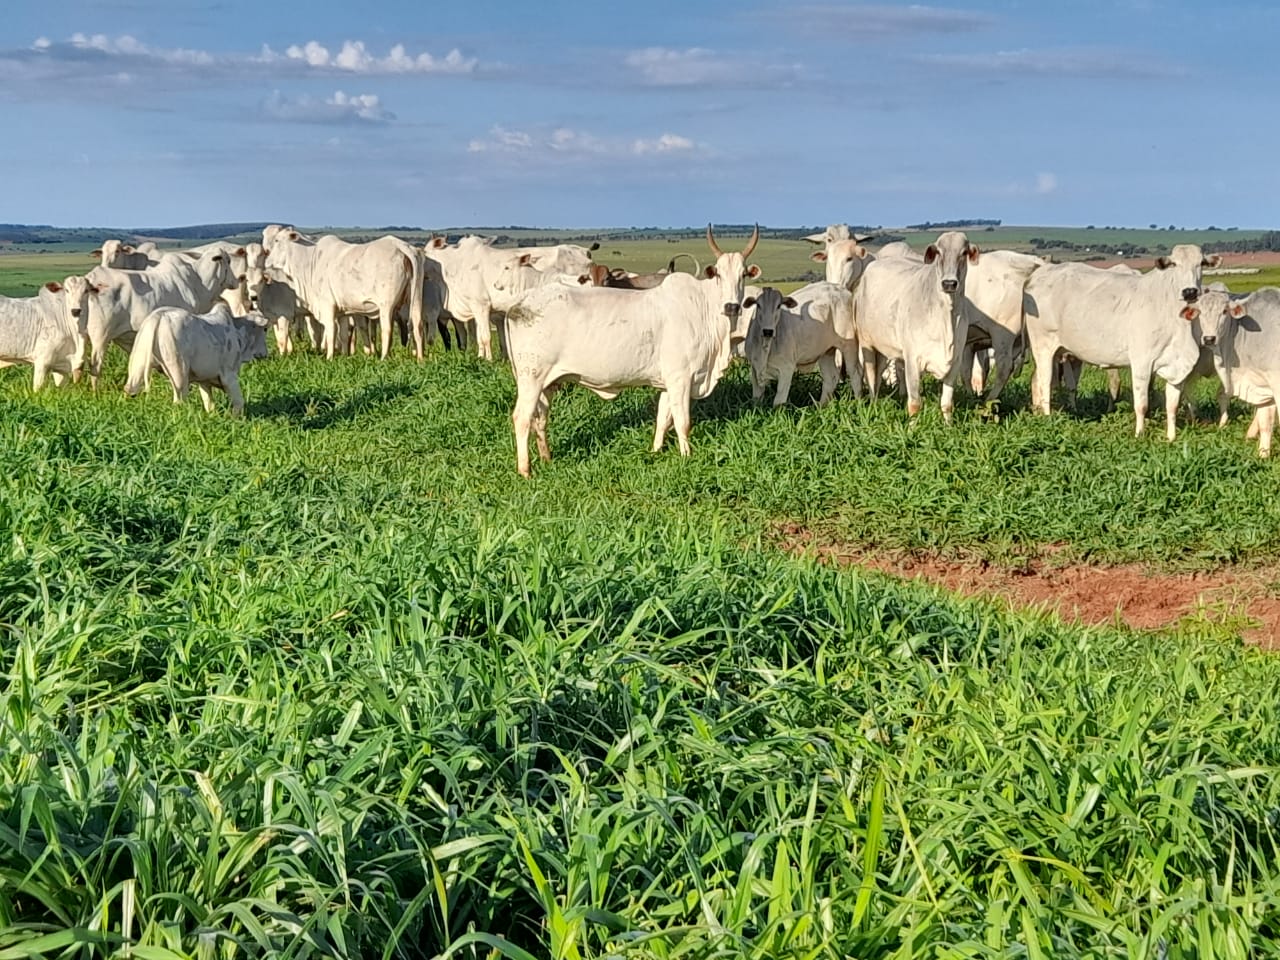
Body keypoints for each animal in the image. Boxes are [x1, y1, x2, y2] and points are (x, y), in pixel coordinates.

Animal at [124, 305, 270, 414]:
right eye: (265, 329)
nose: (265, 354)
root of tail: (158, 317)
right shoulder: (229, 376)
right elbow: (239, 402)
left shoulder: (204, 380)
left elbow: (209, 404)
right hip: (179, 372)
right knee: (179, 400)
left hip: (138, 362)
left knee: (129, 389)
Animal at [501, 226, 757, 481]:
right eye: (719, 275)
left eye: (743, 275)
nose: (732, 306)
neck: (705, 309)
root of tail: (519, 303)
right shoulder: (680, 378)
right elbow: (682, 421)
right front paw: (687, 456)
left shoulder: (668, 382)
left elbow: (663, 419)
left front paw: (655, 451)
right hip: (531, 377)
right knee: (522, 417)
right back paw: (525, 470)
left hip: (548, 382)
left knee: (540, 417)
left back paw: (547, 458)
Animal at [849, 231, 977, 419]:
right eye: (939, 252)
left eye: (964, 252)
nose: (949, 283)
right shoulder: (912, 361)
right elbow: (915, 404)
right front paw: (912, 426)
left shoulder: (955, 362)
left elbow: (947, 404)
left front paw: (948, 424)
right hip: (867, 344)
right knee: (871, 378)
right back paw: (872, 407)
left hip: (884, 348)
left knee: (879, 376)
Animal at [1018, 244, 1218, 440]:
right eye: (1174, 264)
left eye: (1201, 263)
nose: (1190, 291)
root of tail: (1038, 275)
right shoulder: (1141, 363)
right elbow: (1141, 404)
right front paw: (1139, 435)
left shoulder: (1177, 366)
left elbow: (1172, 405)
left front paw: (1171, 438)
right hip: (1042, 345)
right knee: (1045, 382)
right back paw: (1046, 417)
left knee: (1037, 380)